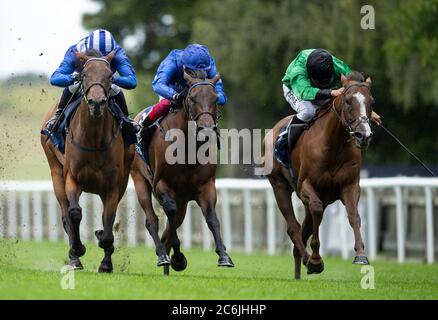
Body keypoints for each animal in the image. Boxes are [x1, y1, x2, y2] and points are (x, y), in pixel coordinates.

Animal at [41, 50, 134, 272]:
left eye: (109, 76)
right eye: (84, 75)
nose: (97, 102)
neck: (93, 139)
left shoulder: (112, 185)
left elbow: (109, 220)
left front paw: (105, 260)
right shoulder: (72, 178)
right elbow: (74, 213)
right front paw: (78, 249)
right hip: (55, 172)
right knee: (66, 216)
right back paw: (74, 258)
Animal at [129, 71, 233, 274]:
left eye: (215, 98)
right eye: (192, 98)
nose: (206, 129)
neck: (188, 148)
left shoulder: (206, 186)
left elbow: (212, 218)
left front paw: (223, 255)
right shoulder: (162, 185)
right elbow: (170, 214)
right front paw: (177, 257)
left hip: (183, 199)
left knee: (173, 223)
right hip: (139, 179)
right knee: (152, 220)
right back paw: (163, 255)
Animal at [262, 71, 374, 278]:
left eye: (372, 102)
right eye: (348, 101)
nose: (364, 135)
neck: (333, 146)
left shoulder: (350, 186)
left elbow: (354, 215)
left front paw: (361, 255)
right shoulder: (306, 185)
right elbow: (316, 209)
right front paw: (315, 260)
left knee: (304, 229)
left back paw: (299, 267)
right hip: (279, 186)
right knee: (294, 228)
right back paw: (307, 259)